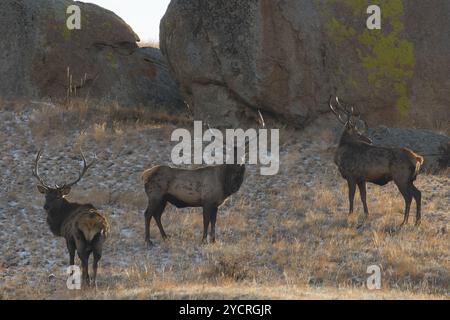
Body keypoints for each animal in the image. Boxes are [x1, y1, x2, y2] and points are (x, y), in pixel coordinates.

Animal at [33, 150, 109, 288]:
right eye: (46, 195)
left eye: (58, 196)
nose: (46, 206)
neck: (62, 220)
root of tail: (92, 223)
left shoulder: (68, 239)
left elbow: (71, 259)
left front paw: (71, 279)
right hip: (99, 240)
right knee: (95, 262)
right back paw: (93, 283)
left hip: (79, 238)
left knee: (83, 260)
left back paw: (85, 282)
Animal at [328, 96, 424, 226]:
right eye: (358, 133)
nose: (370, 140)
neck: (340, 156)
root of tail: (418, 159)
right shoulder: (361, 178)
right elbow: (363, 196)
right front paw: (366, 215)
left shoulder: (351, 175)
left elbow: (351, 196)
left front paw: (350, 214)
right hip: (409, 180)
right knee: (418, 194)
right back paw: (417, 222)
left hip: (401, 177)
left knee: (408, 197)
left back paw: (404, 222)